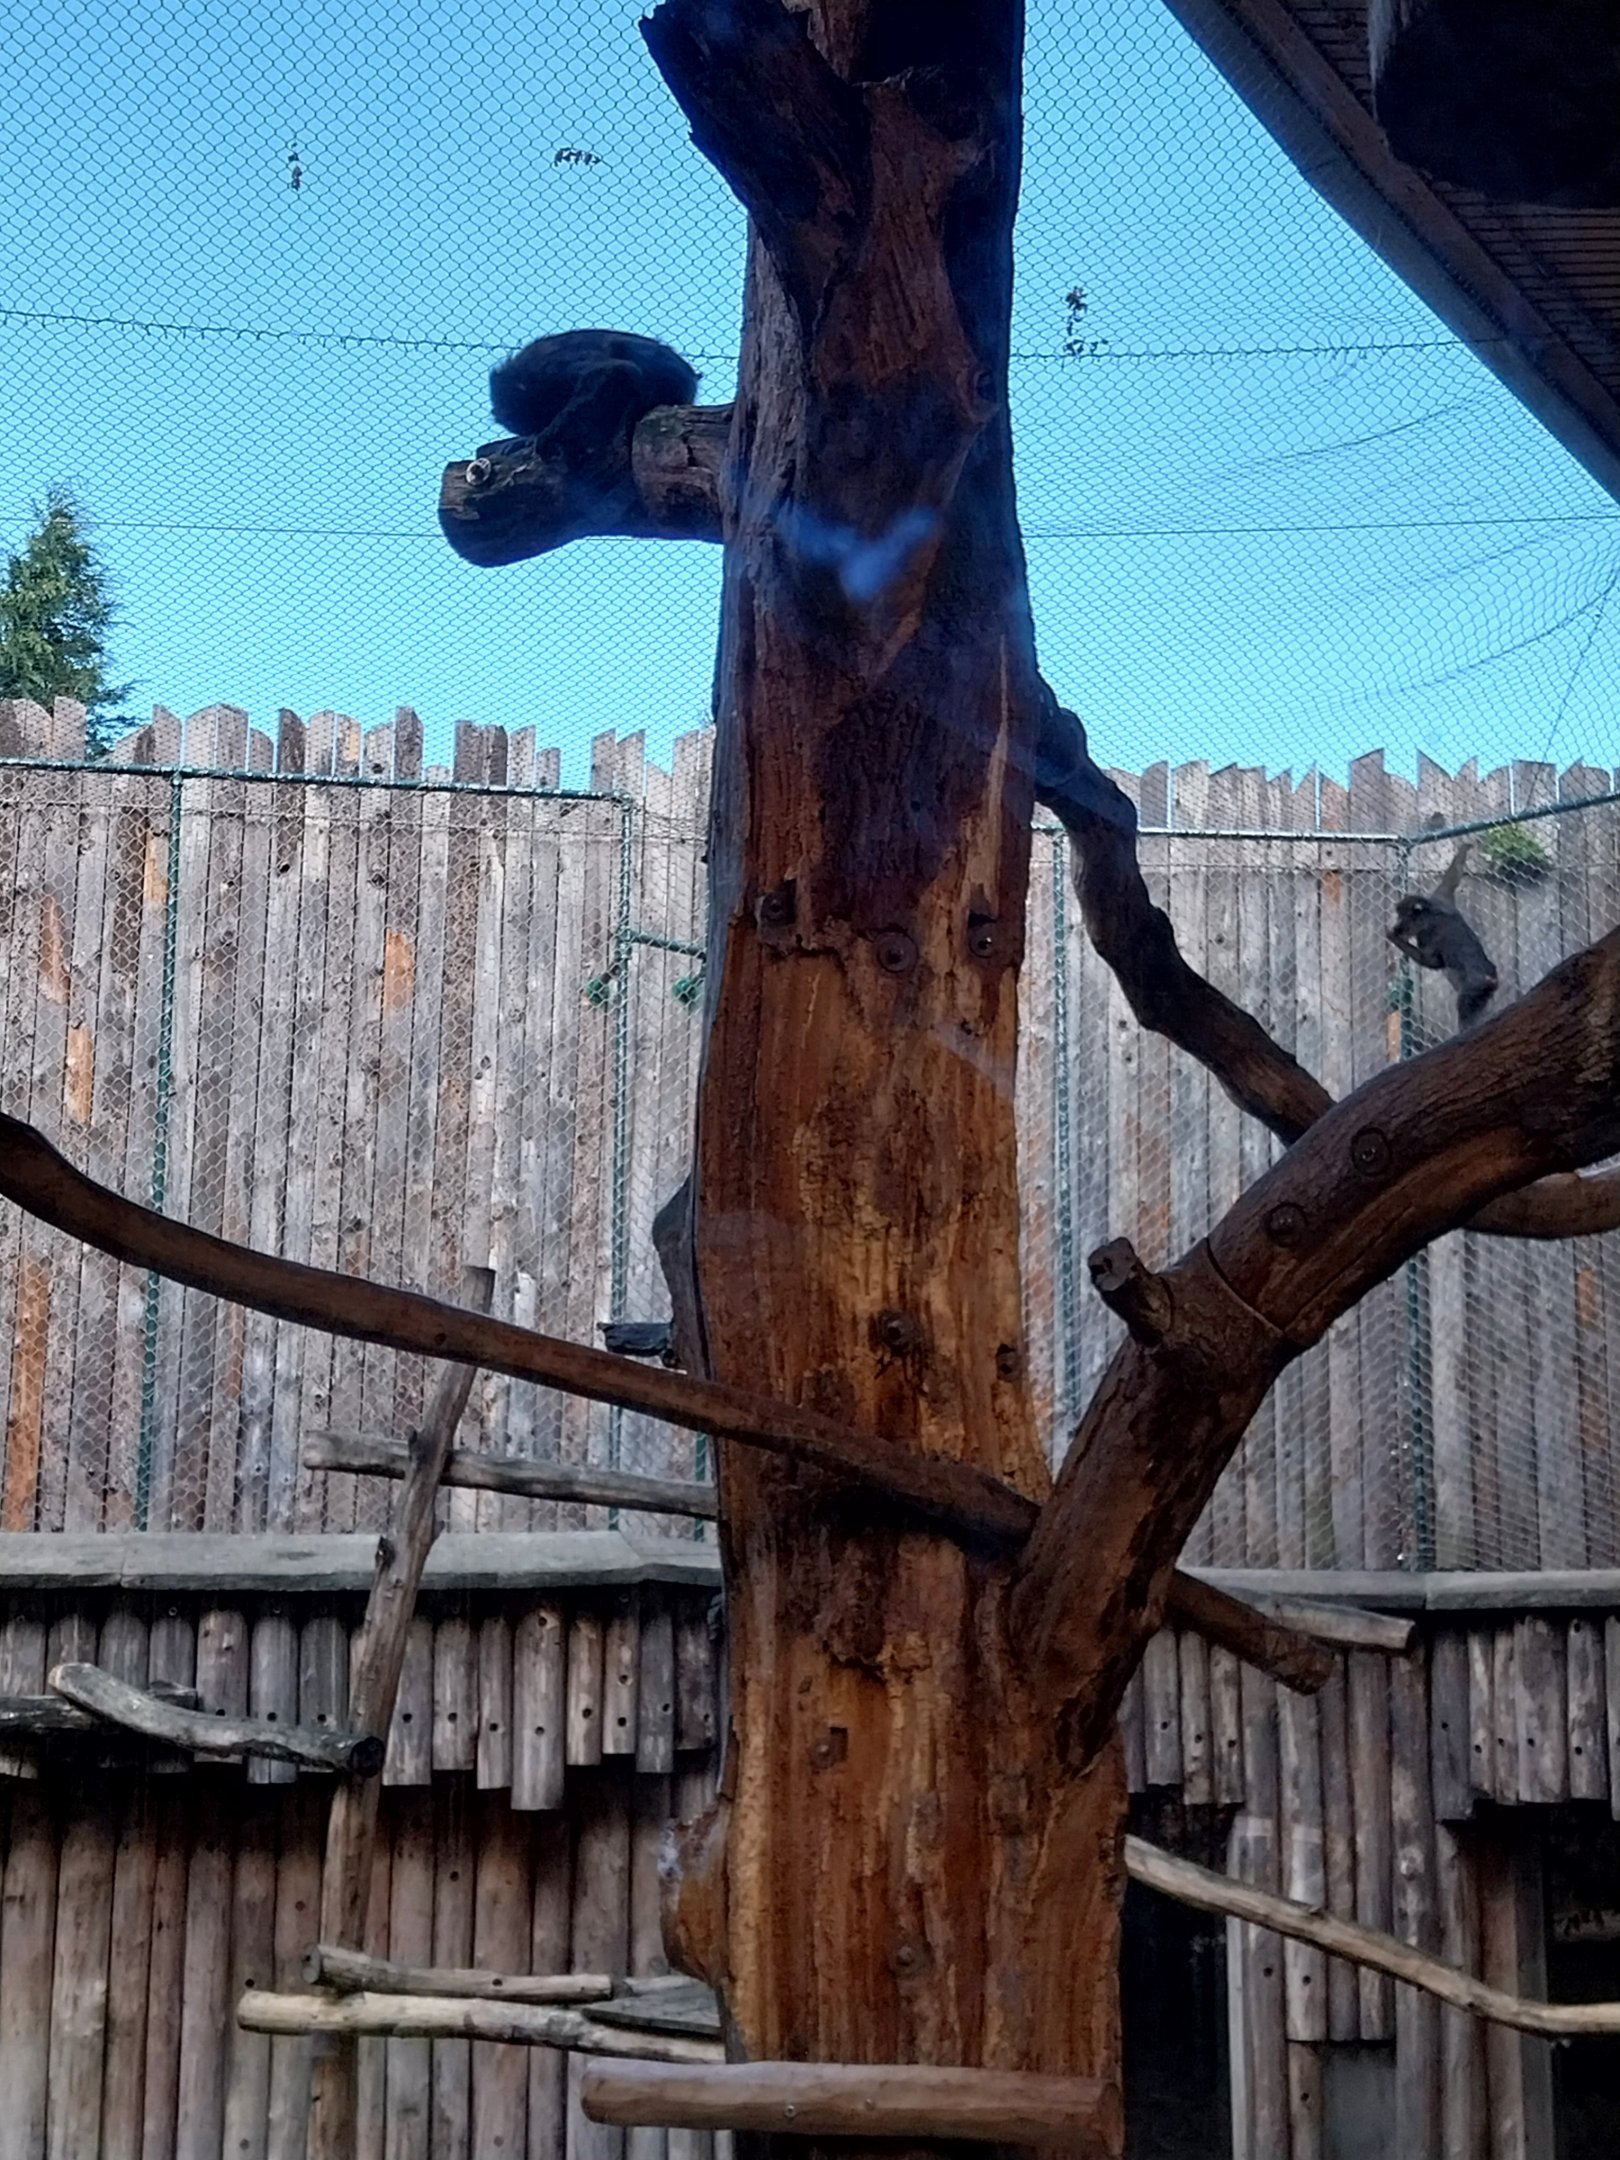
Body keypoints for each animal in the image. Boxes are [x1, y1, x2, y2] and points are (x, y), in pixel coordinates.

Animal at [1387, 842, 1499, 1029]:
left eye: (1402, 916)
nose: (1398, 925)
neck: (1431, 913)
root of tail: (1490, 978)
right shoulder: (1441, 898)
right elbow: (1453, 876)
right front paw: (1465, 848)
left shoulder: (1429, 934)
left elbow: (1432, 961)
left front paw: (1393, 937)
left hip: (1474, 988)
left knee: (1464, 1008)